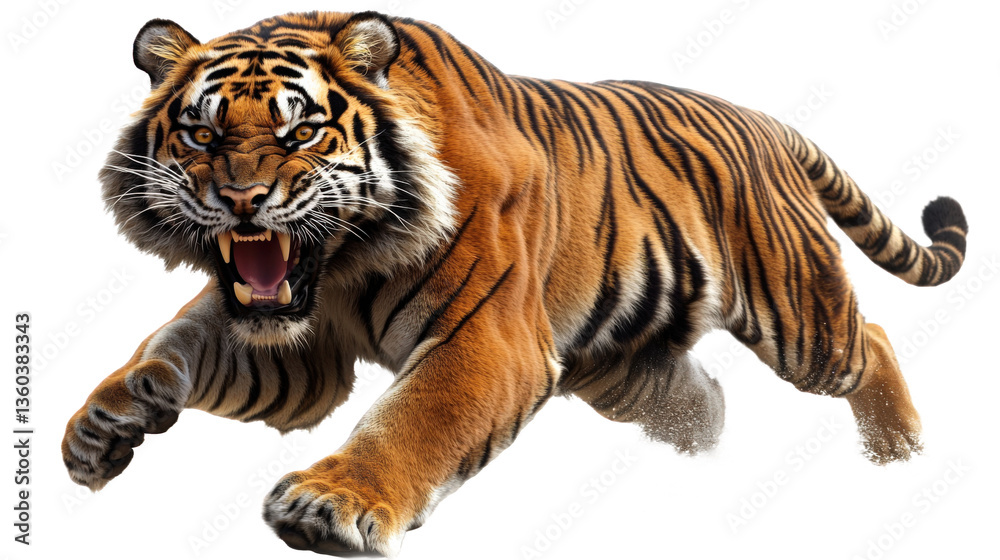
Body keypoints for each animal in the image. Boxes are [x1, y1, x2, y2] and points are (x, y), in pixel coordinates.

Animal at [61, 10, 968, 557]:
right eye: (201, 134)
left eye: (301, 132)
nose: (242, 198)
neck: (343, 264)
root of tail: (772, 126)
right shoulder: (296, 345)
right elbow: (178, 343)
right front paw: (104, 421)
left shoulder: (489, 340)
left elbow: (414, 420)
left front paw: (330, 501)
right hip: (627, 367)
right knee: (703, 401)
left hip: (802, 318)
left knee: (872, 342)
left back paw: (897, 455)